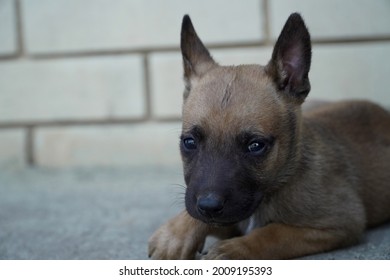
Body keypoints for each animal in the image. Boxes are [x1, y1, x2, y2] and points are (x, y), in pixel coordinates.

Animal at [148, 12, 388, 260]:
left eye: (255, 146)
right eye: (189, 142)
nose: (208, 205)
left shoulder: (338, 223)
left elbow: (273, 233)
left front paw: (235, 249)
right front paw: (177, 233)